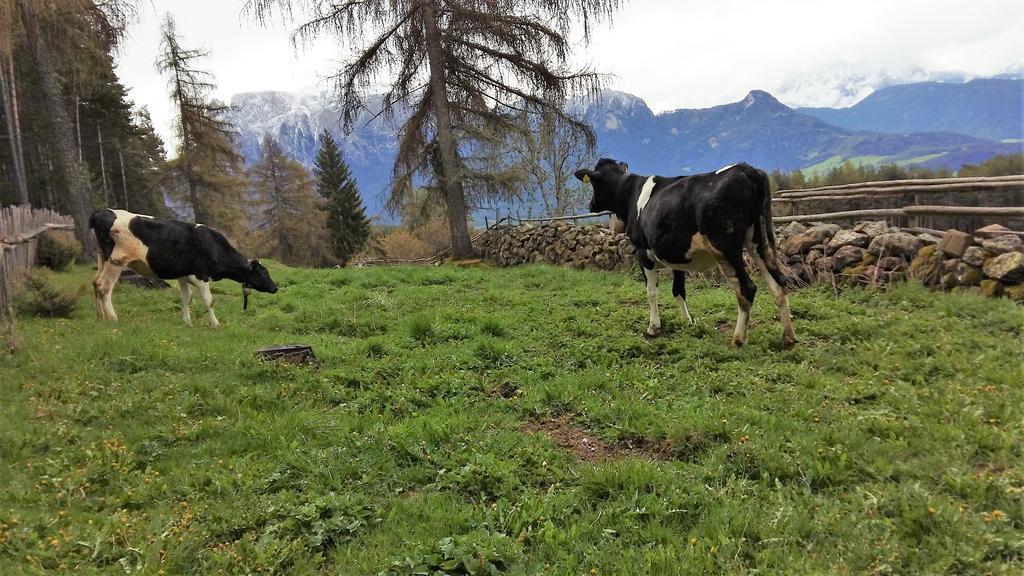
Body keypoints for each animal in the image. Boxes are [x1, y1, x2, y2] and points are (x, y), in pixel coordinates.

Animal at [88, 207, 278, 325]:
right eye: (265, 272)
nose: (275, 287)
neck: (214, 246)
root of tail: (101, 213)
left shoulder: (183, 276)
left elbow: (187, 299)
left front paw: (187, 323)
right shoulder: (201, 275)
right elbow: (209, 300)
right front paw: (216, 324)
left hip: (102, 258)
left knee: (95, 282)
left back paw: (100, 317)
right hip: (116, 260)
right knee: (104, 286)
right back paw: (113, 318)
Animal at [573, 157, 794, 344]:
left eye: (593, 182)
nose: (591, 204)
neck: (630, 196)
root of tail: (747, 169)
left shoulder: (643, 253)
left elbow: (651, 291)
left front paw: (654, 328)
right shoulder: (676, 256)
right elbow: (679, 289)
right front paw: (688, 321)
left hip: (725, 248)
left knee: (747, 288)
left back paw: (738, 340)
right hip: (759, 241)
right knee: (778, 283)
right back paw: (788, 338)